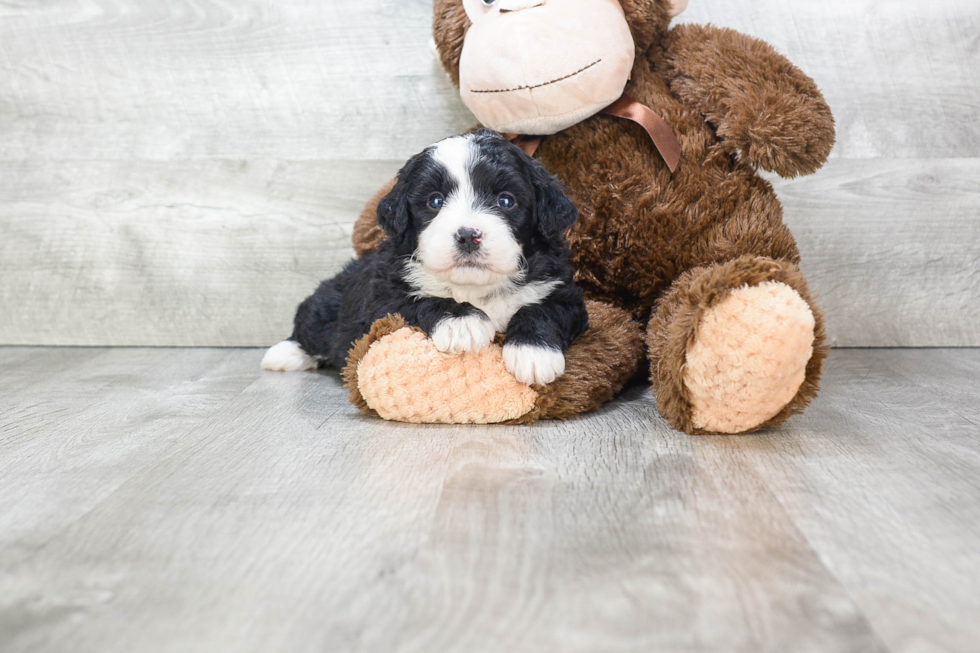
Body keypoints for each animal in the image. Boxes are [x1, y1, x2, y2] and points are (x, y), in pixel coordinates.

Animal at [260, 128, 588, 384]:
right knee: (310, 323)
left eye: (506, 201)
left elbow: (541, 309)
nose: (468, 235)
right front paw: (462, 323)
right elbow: (421, 299)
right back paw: (284, 354)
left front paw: (533, 352)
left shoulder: (564, 293)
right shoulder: (383, 298)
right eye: (435, 201)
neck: (474, 287)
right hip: (327, 301)